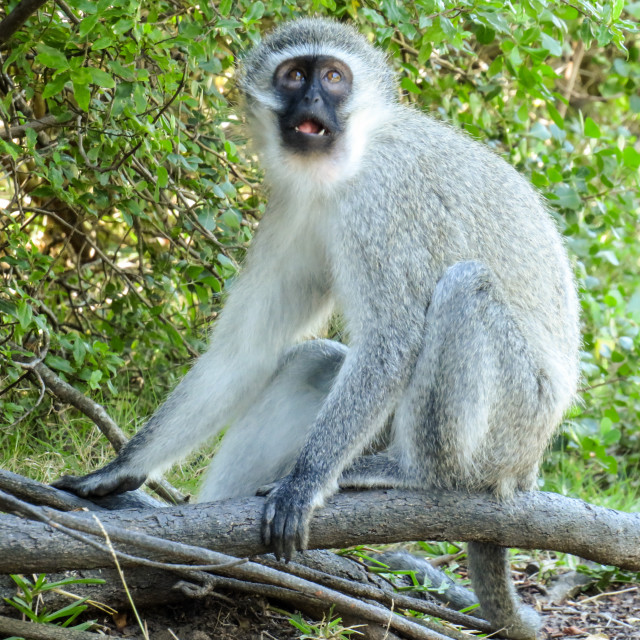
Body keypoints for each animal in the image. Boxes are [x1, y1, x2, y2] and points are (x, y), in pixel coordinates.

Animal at [57, 17, 584, 636]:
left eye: (333, 77)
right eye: (294, 75)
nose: (311, 100)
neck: (343, 166)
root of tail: (528, 466)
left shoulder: (381, 203)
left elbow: (392, 339)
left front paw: (305, 482)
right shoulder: (293, 207)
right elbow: (246, 351)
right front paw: (119, 471)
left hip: (513, 424)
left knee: (465, 288)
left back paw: (415, 474)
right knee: (312, 362)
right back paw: (206, 566)